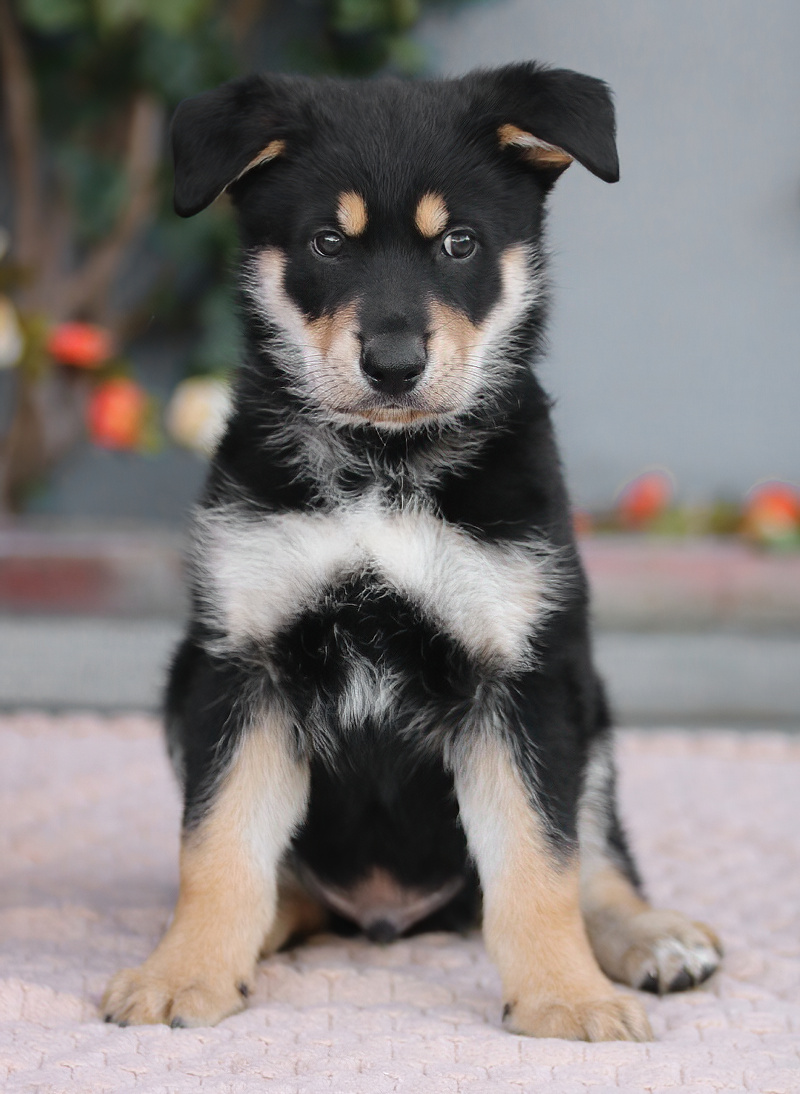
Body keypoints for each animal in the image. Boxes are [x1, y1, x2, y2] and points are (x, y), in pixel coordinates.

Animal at [102, 62, 722, 1040]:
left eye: (460, 243)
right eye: (326, 241)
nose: (393, 365)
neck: (383, 471)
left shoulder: (523, 677)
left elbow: (540, 862)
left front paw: (566, 997)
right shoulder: (241, 669)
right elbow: (217, 845)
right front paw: (184, 971)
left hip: (590, 708)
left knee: (597, 859)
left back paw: (649, 938)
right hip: (179, 685)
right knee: (284, 877)